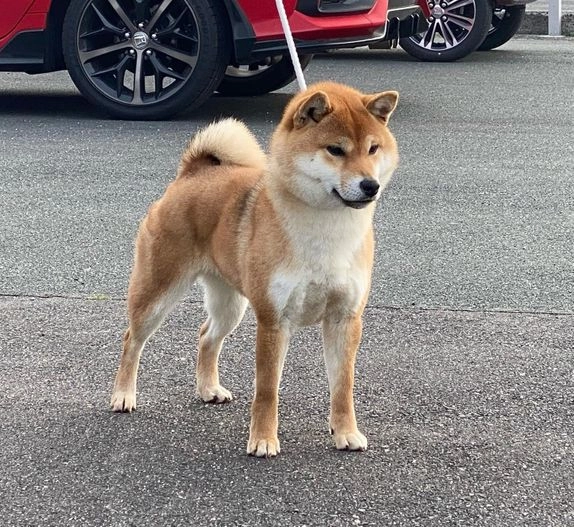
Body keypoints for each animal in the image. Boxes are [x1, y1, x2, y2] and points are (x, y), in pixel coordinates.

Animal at [112, 81, 400, 458]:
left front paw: (346, 432)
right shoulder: (273, 319)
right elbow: (267, 389)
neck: (327, 230)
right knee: (132, 340)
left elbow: (343, 387)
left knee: (206, 335)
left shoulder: (345, 318)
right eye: (335, 150)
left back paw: (208, 388)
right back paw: (123, 395)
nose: (370, 185)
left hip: (231, 304)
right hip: (157, 292)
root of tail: (193, 173)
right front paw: (263, 439)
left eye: (373, 148)